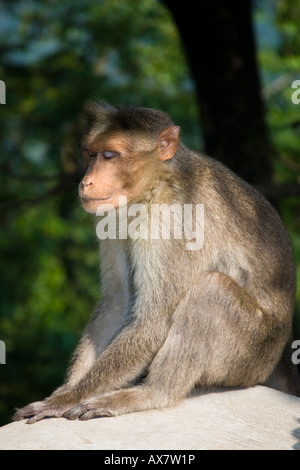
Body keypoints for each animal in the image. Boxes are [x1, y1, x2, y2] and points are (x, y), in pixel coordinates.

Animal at [13, 99, 300, 422]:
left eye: (109, 155)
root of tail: (282, 347)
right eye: (90, 153)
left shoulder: (176, 220)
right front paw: (65, 390)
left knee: (211, 290)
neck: (153, 187)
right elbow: (118, 300)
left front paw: (66, 398)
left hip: (251, 356)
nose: (86, 181)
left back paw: (153, 394)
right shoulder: (110, 216)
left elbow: (154, 318)